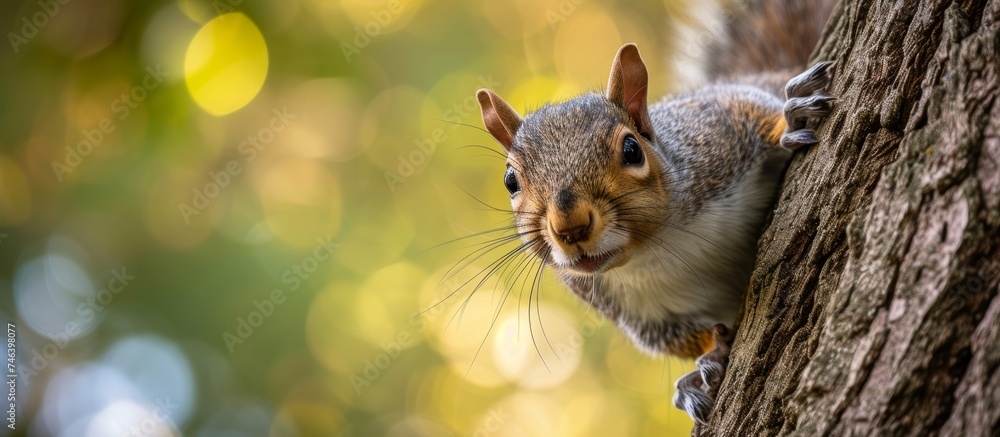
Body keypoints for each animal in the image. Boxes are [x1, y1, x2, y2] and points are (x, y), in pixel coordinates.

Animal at [474, 0, 836, 424]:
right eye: (510, 181)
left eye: (632, 149)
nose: (570, 227)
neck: (654, 247)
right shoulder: (638, 314)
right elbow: (682, 339)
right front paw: (704, 366)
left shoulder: (717, 129)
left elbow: (754, 108)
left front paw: (789, 120)